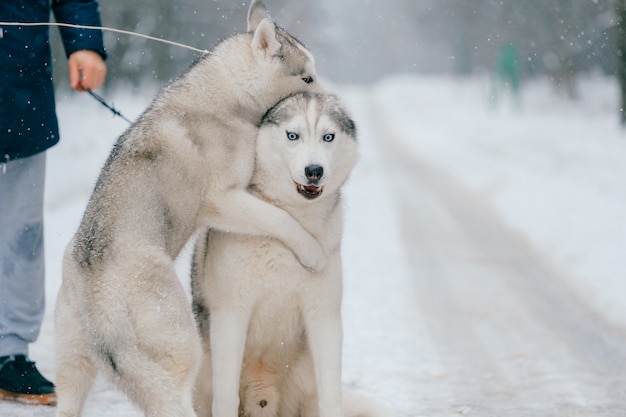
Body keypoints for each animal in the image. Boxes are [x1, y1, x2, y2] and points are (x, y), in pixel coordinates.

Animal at [193, 92, 360, 417]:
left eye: (328, 136)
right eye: (292, 135)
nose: (314, 171)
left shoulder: (324, 316)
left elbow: (332, 397)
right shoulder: (231, 315)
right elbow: (225, 397)